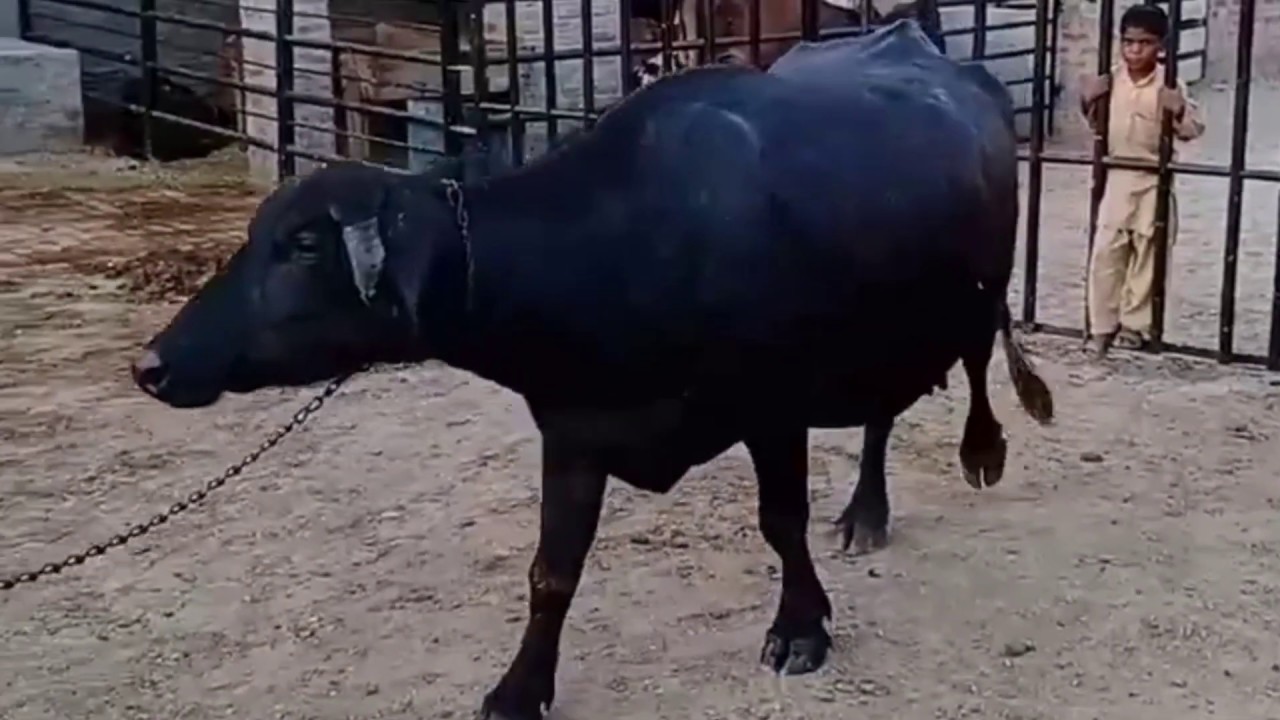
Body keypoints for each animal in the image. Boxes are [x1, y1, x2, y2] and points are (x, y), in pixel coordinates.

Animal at [132, 20, 1052, 720]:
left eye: (303, 244)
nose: (151, 364)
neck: (628, 247)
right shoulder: (574, 430)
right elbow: (552, 572)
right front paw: (518, 689)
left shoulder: (772, 410)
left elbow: (780, 523)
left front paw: (801, 629)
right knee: (881, 411)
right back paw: (865, 512)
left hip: (978, 290)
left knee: (969, 371)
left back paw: (970, 456)